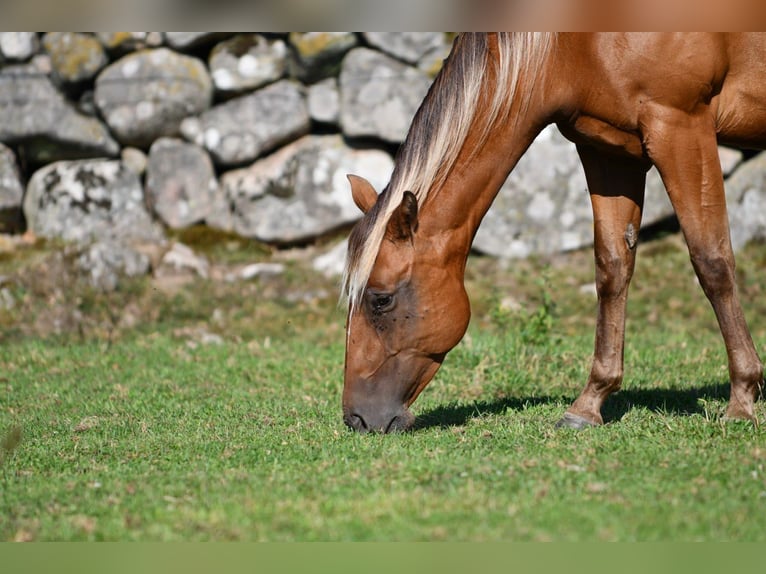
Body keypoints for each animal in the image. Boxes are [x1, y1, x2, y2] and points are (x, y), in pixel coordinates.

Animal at [341, 33, 765, 433]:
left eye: (381, 300)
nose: (356, 419)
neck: (571, 45)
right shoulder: (608, 150)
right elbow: (612, 269)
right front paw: (589, 404)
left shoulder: (681, 127)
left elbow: (711, 261)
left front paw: (742, 399)